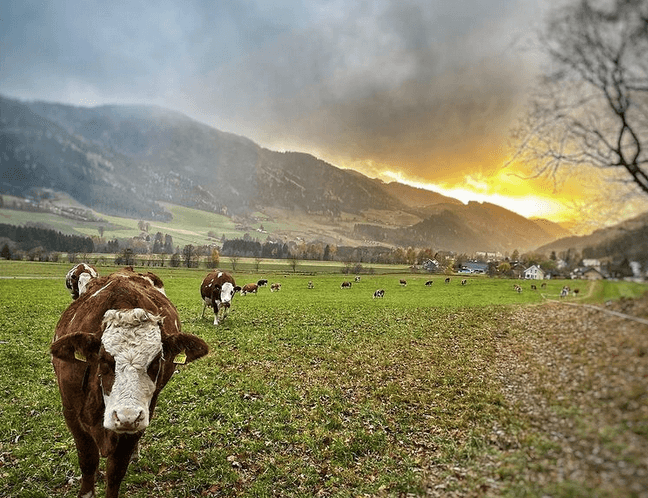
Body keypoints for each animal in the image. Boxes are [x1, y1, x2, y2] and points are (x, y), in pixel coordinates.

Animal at [50, 268, 208, 498]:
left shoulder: (139, 420)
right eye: (104, 360)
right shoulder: (72, 415)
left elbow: (116, 471)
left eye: (156, 362)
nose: (127, 416)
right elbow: (88, 462)